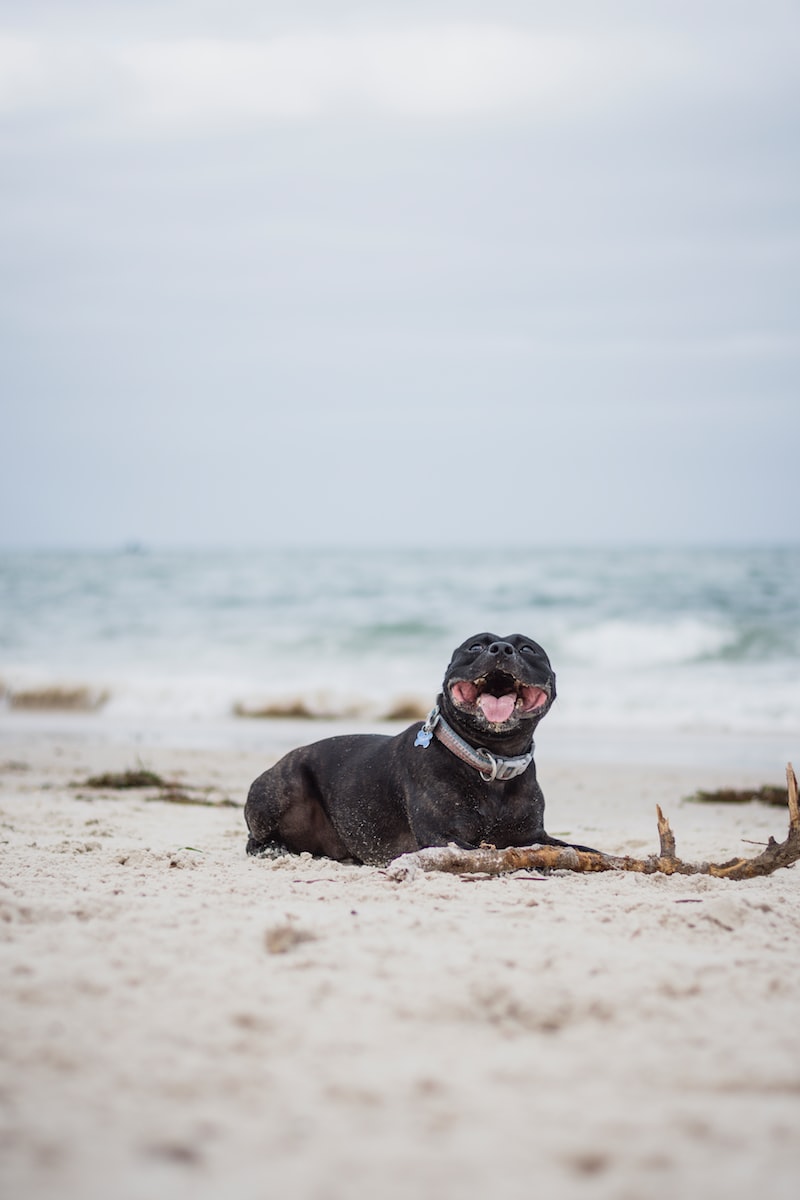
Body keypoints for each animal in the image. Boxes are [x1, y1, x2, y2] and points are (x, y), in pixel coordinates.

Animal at [244, 633, 594, 868]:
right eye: (475, 647)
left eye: (527, 649)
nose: (501, 648)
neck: (491, 760)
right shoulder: (443, 836)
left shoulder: (534, 835)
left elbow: (581, 849)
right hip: (281, 786)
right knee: (253, 838)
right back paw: (273, 849)